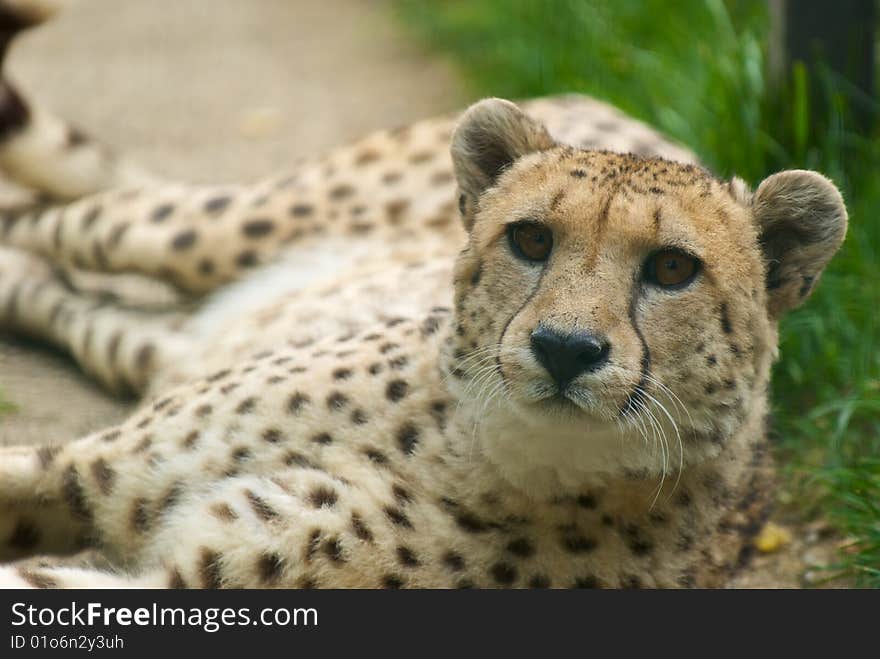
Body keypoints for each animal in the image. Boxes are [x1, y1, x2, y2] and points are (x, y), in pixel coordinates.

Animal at [0, 0, 844, 588]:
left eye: (672, 268)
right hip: (208, 229)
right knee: (54, 219)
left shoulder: (177, 570)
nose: (565, 349)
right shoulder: (87, 465)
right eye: (530, 239)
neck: (466, 450)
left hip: (166, 338)